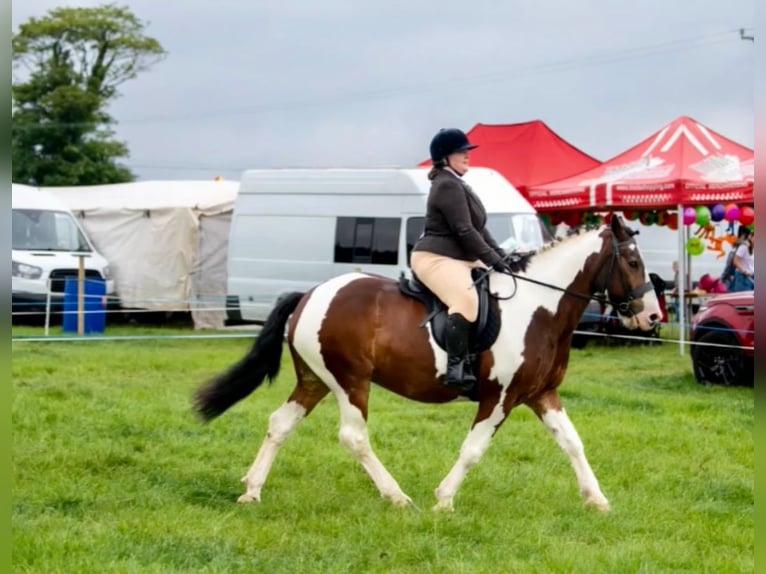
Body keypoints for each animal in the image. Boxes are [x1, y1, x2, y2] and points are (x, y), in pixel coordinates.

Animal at [194, 215, 661, 512]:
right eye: (633, 262)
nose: (653, 318)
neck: (538, 306)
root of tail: (310, 294)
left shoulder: (541, 393)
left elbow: (572, 443)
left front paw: (597, 499)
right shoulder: (500, 397)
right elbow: (473, 449)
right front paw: (444, 500)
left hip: (315, 379)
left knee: (280, 423)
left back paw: (252, 491)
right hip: (349, 381)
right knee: (354, 437)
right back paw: (397, 497)